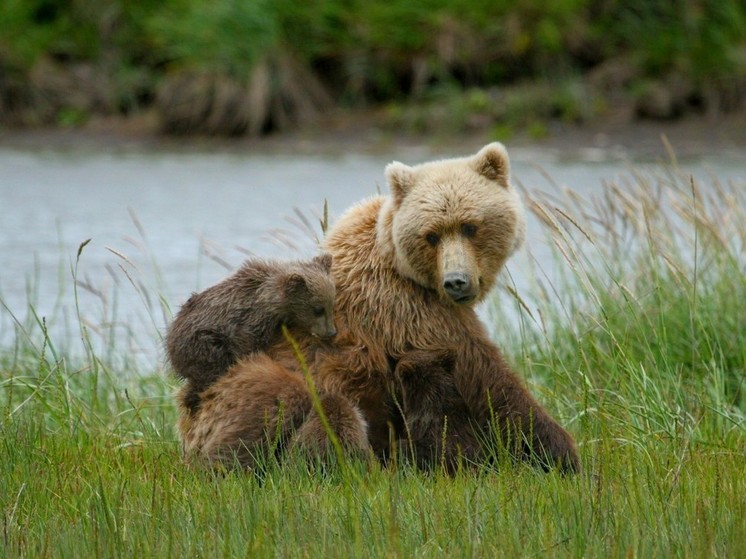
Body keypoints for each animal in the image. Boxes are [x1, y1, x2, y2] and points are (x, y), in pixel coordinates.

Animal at [167, 256, 336, 414]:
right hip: (202, 342)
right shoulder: (248, 322)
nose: (331, 332)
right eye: (318, 309)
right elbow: (247, 346)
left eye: (331, 305)